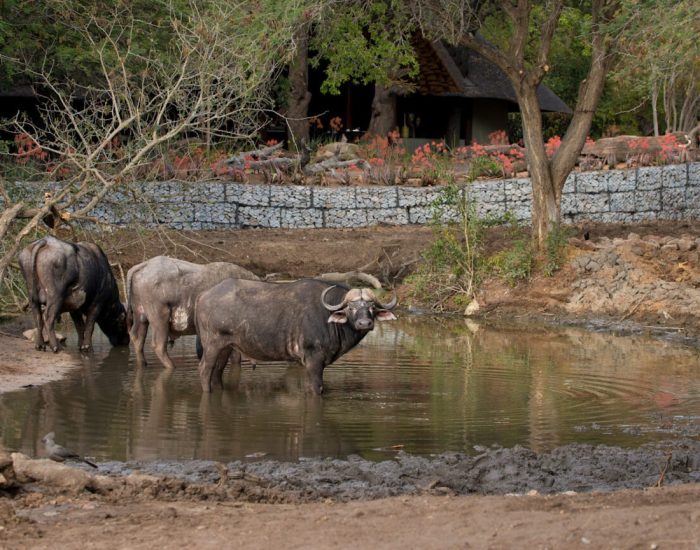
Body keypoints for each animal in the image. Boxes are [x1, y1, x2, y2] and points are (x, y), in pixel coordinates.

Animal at [126, 256, 258, 368]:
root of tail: (145, 265)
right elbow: (235, 358)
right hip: (159, 316)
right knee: (159, 345)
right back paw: (171, 366)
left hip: (141, 316)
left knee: (137, 338)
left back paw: (143, 364)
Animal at [194, 278, 397, 393]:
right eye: (351, 307)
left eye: (371, 307)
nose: (365, 323)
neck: (327, 318)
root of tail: (202, 296)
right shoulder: (314, 359)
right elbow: (317, 388)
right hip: (212, 344)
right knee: (204, 369)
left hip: (226, 347)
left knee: (217, 372)